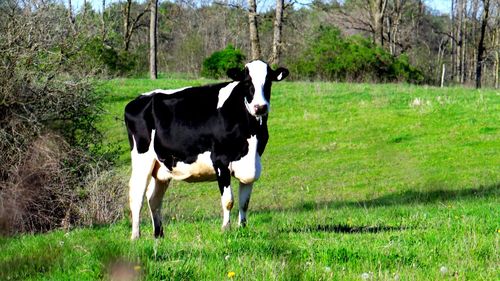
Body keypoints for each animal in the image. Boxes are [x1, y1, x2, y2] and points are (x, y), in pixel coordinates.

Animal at [124, 59, 290, 238]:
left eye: (269, 82)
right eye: (247, 82)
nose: (260, 107)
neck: (251, 131)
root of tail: (137, 100)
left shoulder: (251, 163)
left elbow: (244, 202)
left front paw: (242, 228)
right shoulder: (220, 161)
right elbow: (228, 200)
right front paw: (225, 228)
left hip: (162, 166)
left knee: (153, 198)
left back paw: (159, 235)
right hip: (142, 158)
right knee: (137, 195)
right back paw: (136, 236)